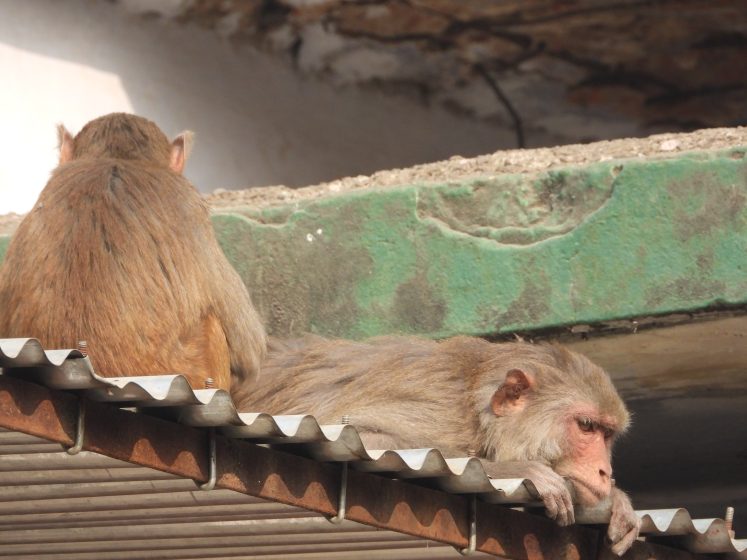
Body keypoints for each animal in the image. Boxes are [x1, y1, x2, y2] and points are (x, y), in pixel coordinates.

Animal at [232, 334, 640, 556]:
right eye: (586, 427)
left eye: (608, 434)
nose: (605, 470)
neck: (475, 408)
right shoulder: (437, 411)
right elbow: (358, 432)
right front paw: (516, 469)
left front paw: (617, 499)